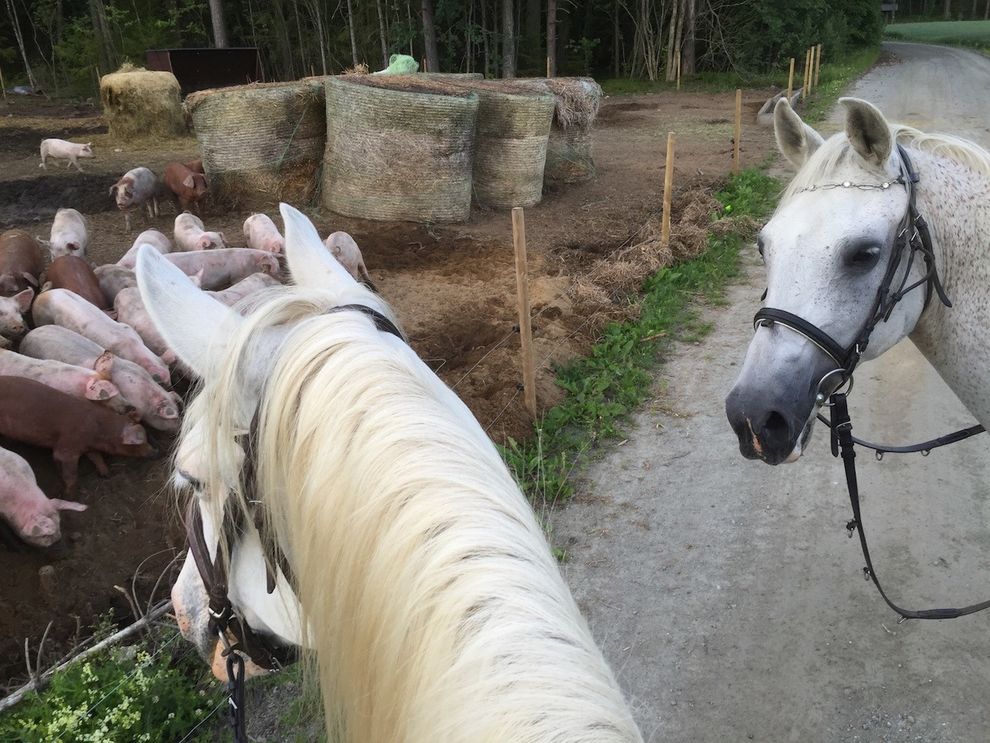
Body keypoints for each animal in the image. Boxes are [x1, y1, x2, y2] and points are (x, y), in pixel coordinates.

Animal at [0, 378, 154, 494]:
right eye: (138, 442)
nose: (156, 452)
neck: (98, 432)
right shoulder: (67, 447)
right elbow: (71, 473)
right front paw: (70, 494)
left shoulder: (88, 447)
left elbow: (97, 457)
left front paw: (106, 474)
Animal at [30, 290, 170, 386]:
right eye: (162, 384)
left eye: (169, 377)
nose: (171, 388)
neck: (131, 345)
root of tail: (41, 295)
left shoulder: (129, 329)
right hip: (40, 317)